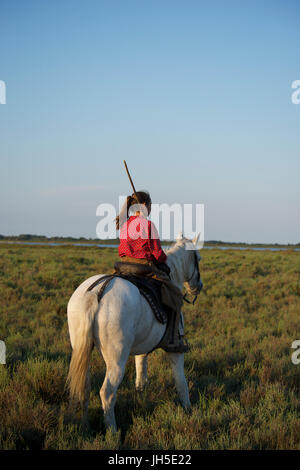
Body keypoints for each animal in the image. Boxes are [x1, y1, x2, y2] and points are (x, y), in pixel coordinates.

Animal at [67, 233, 203, 432]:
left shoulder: (142, 350)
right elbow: (181, 382)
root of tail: (96, 293)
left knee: (83, 387)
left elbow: (141, 381)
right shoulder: (175, 350)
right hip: (116, 359)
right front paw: (188, 410)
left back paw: (85, 427)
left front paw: (142, 404)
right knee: (107, 393)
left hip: (81, 349)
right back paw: (112, 432)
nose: (198, 286)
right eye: (198, 259)